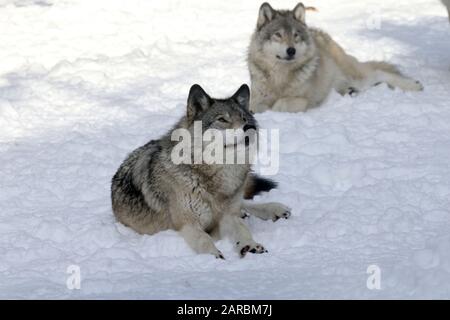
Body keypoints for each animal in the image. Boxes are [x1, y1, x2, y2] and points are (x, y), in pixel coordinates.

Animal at [110, 84, 290, 258]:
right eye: (222, 119)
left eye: (244, 118)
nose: (250, 127)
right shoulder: (188, 224)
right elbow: (204, 240)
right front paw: (213, 256)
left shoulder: (227, 216)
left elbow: (242, 229)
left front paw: (250, 245)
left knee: (245, 204)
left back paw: (276, 209)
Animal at [248, 1, 424, 112]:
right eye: (278, 35)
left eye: (296, 35)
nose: (291, 51)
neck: (281, 78)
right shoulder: (256, 100)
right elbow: (256, 107)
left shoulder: (305, 100)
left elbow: (280, 105)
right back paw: (351, 91)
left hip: (356, 74)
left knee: (380, 73)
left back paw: (414, 85)